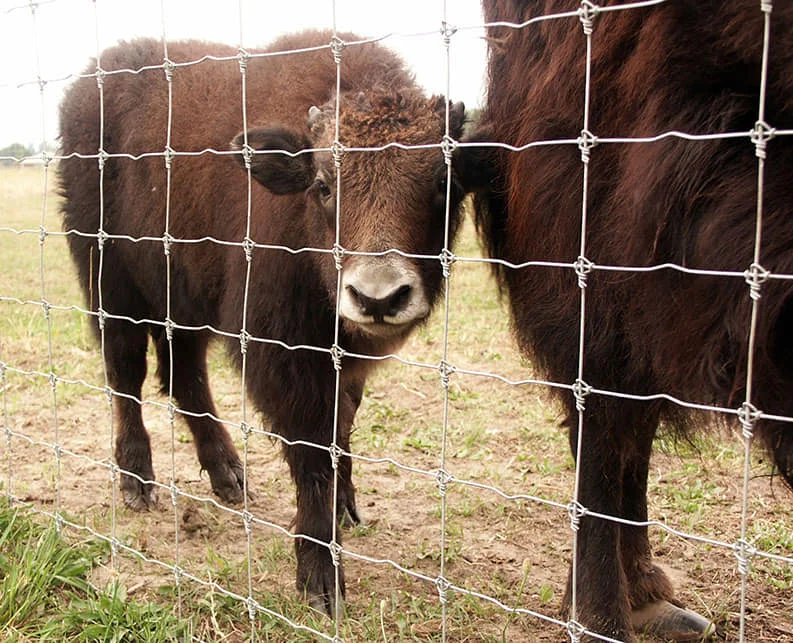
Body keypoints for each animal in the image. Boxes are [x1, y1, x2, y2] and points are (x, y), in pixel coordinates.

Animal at [58, 30, 465, 615]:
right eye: (323, 184)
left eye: (442, 182)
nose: (379, 296)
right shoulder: (285, 356)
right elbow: (313, 449)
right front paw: (321, 579)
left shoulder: (344, 361)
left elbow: (341, 427)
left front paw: (347, 507)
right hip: (110, 285)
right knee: (126, 374)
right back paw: (138, 481)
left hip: (184, 298)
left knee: (183, 375)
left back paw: (228, 475)